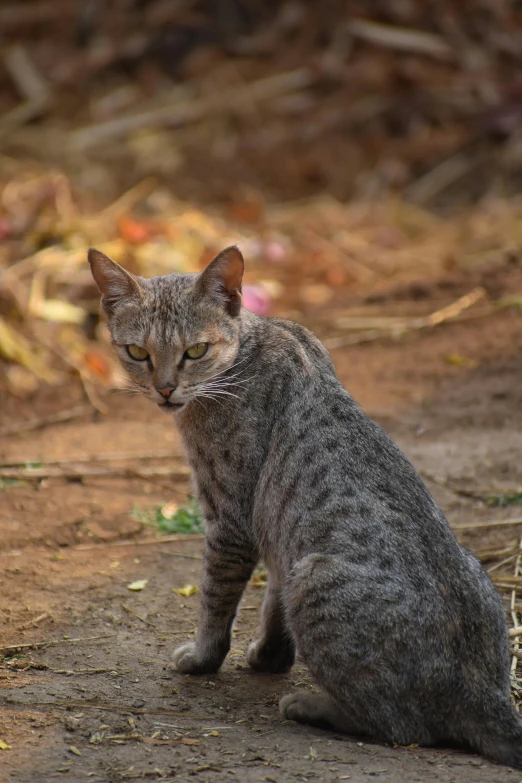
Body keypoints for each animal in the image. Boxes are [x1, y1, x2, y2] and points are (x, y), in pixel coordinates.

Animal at [88, 247, 520, 772]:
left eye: (196, 351)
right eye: (137, 353)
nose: (166, 389)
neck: (251, 342)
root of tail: (487, 693)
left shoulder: (229, 520)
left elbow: (215, 600)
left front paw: (203, 658)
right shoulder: (279, 534)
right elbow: (273, 599)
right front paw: (270, 656)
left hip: (316, 577)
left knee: (401, 727)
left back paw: (311, 705)